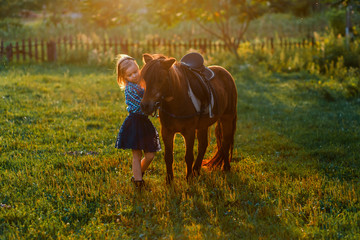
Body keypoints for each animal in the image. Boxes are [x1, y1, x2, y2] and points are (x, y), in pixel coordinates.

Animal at [140, 54, 236, 182]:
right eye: (145, 78)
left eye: (160, 79)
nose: (145, 105)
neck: (178, 100)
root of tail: (225, 72)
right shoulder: (167, 131)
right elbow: (168, 157)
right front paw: (169, 180)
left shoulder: (189, 132)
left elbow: (189, 156)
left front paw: (188, 178)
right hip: (203, 125)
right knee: (203, 145)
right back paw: (196, 170)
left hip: (227, 118)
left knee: (225, 142)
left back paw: (226, 168)